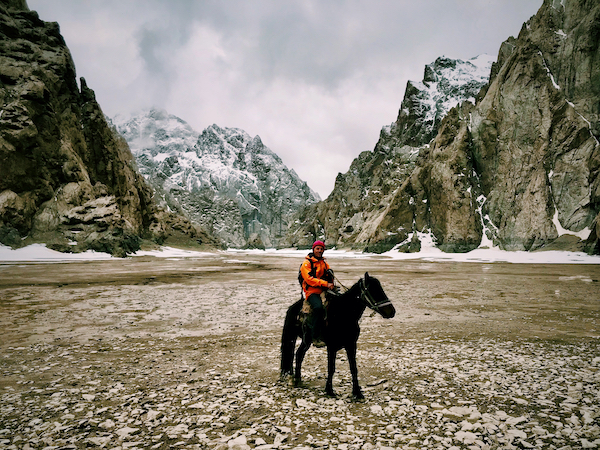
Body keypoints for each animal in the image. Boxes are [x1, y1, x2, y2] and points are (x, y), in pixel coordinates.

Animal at [280, 272, 394, 400]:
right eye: (372, 290)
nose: (391, 312)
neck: (343, 313)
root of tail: (293, 307)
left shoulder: (351, 344)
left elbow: (353, 368)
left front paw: (357, 393)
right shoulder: (332, 346)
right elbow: (331, 368)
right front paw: (329, 391)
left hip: (306, 341)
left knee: (299, 354)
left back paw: (298, 380)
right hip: (303, 340)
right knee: (296, 354)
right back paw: (295, 380)